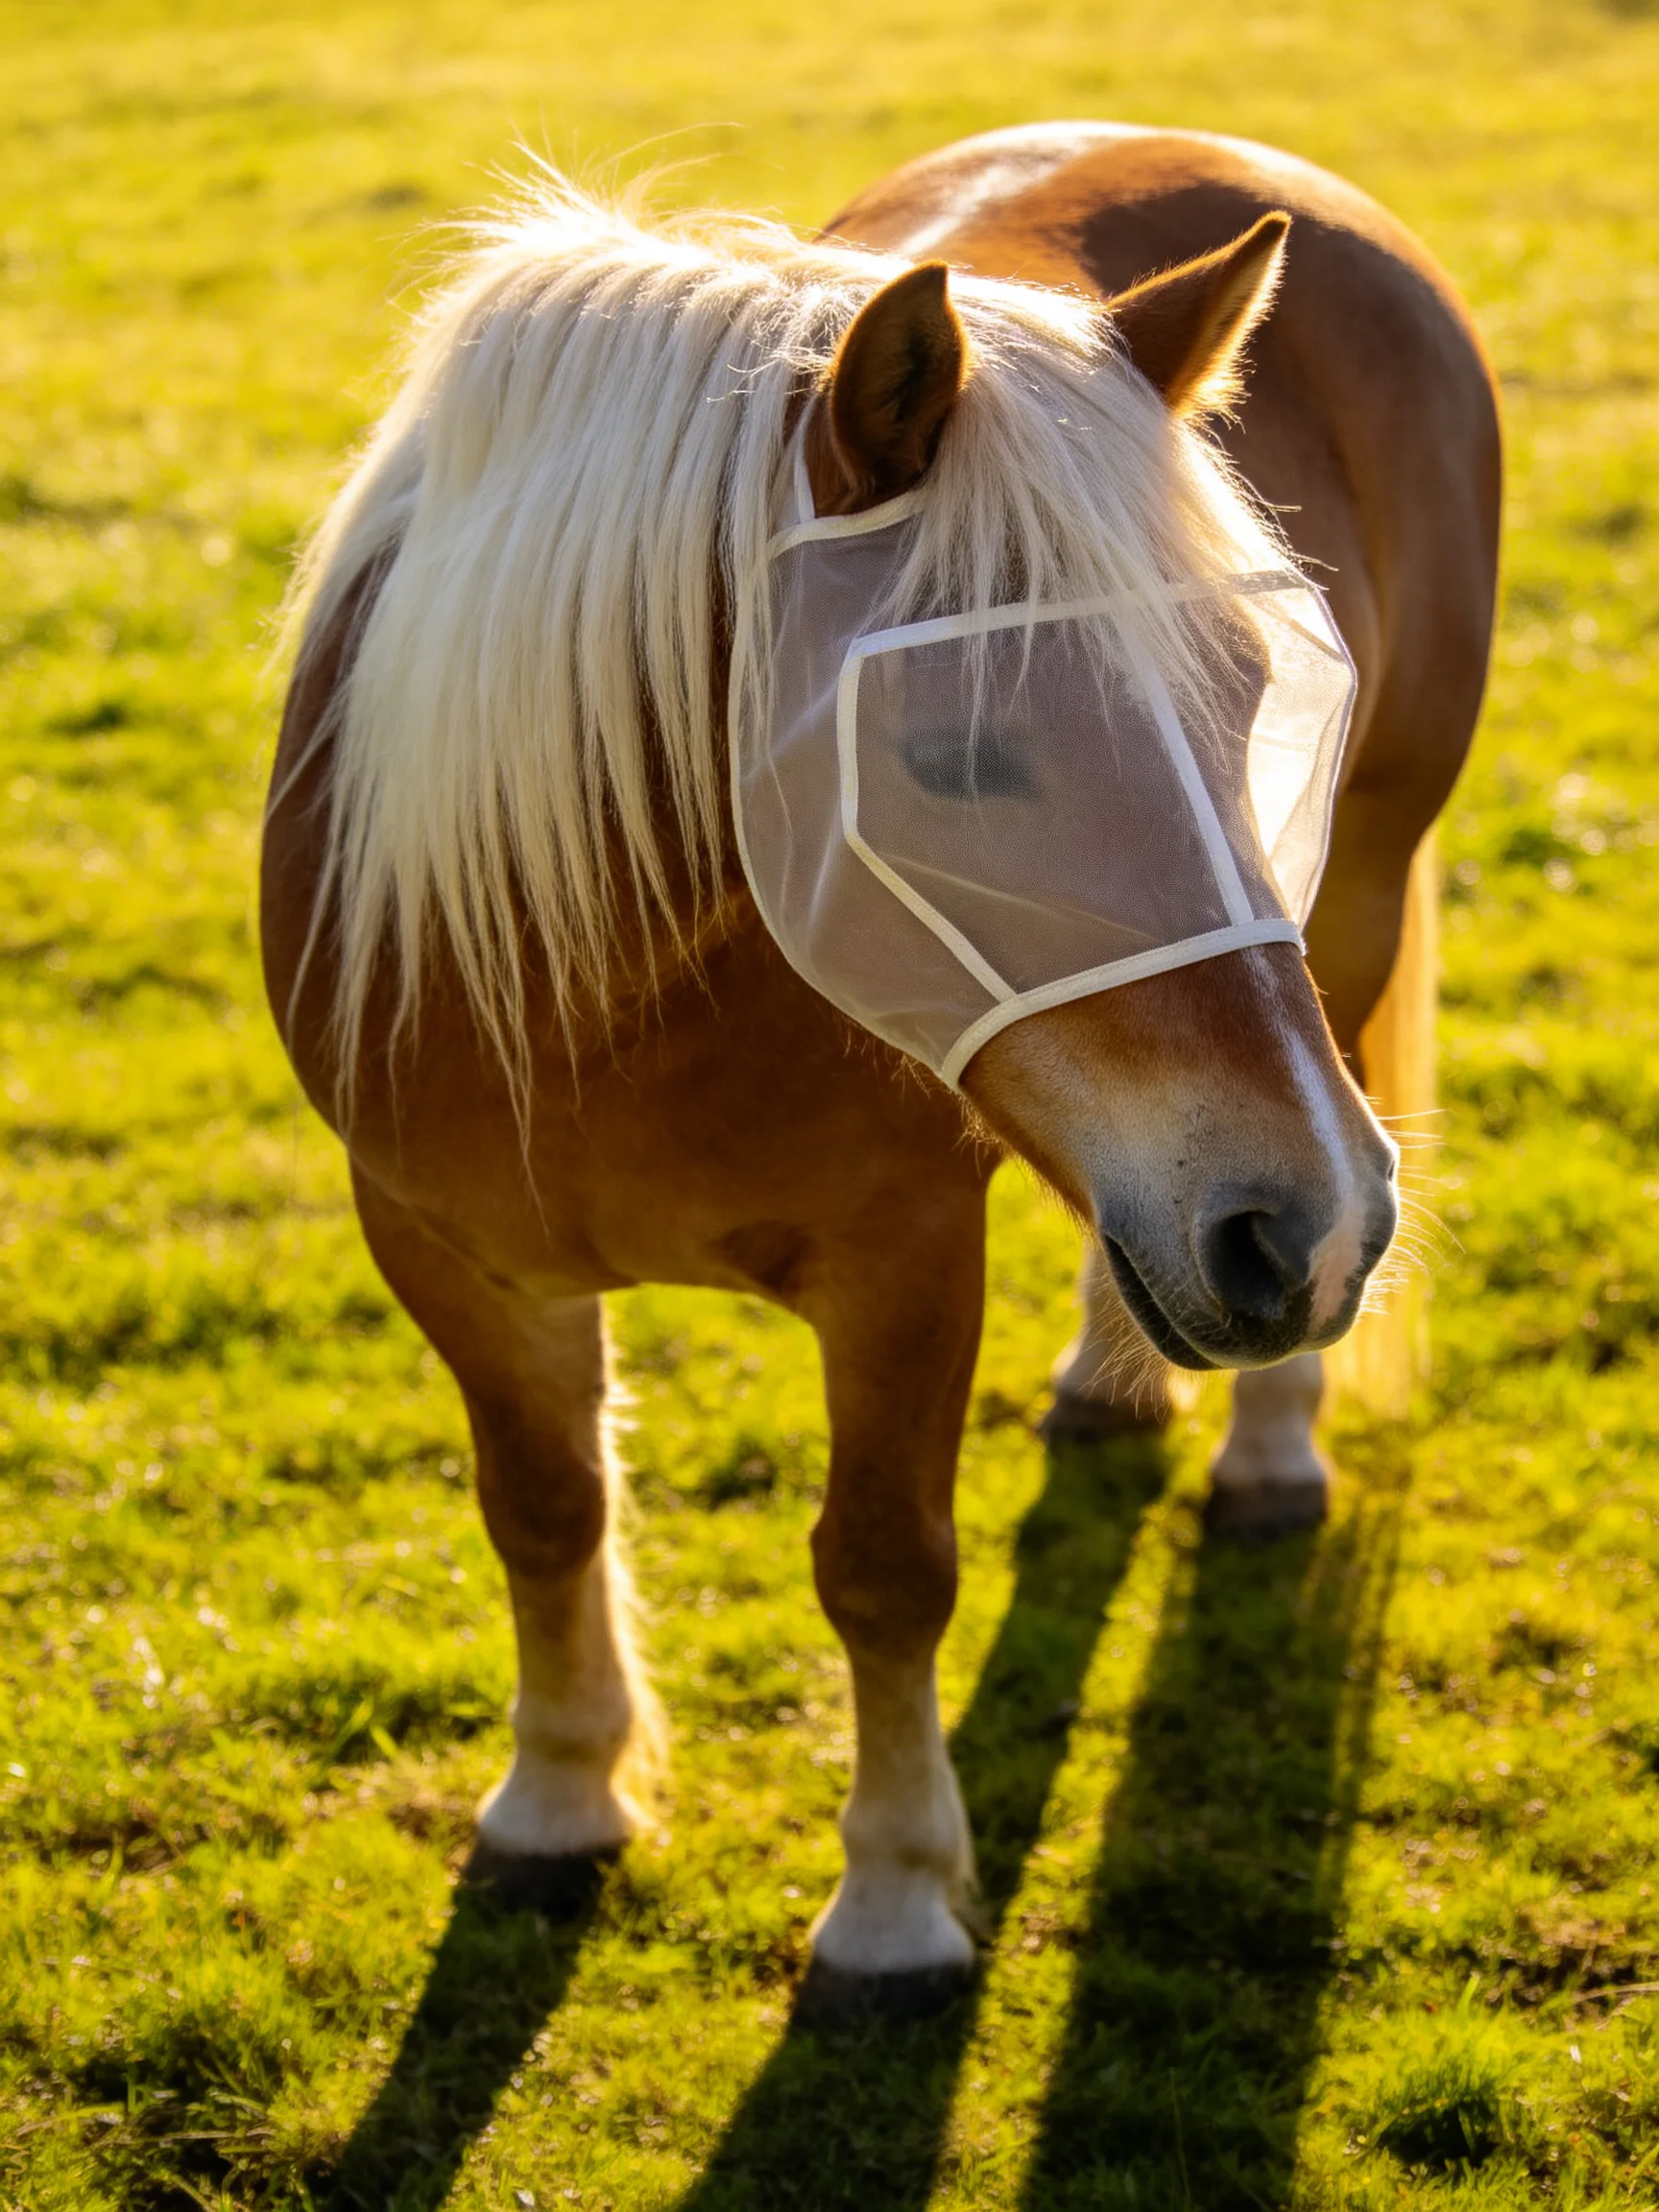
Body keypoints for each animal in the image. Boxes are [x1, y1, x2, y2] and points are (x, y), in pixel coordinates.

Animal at [262, 127, 1499, 2005]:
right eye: (952, 755)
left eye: (1258, 699)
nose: (1309, 1228)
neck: (597, 985)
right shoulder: (441, 1244)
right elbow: (543, 1507)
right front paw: (559, 1798)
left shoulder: (906, 1254)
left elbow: (885, 1569)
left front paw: (900, 1899)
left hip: (1350, 907)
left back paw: (1270, 1450)